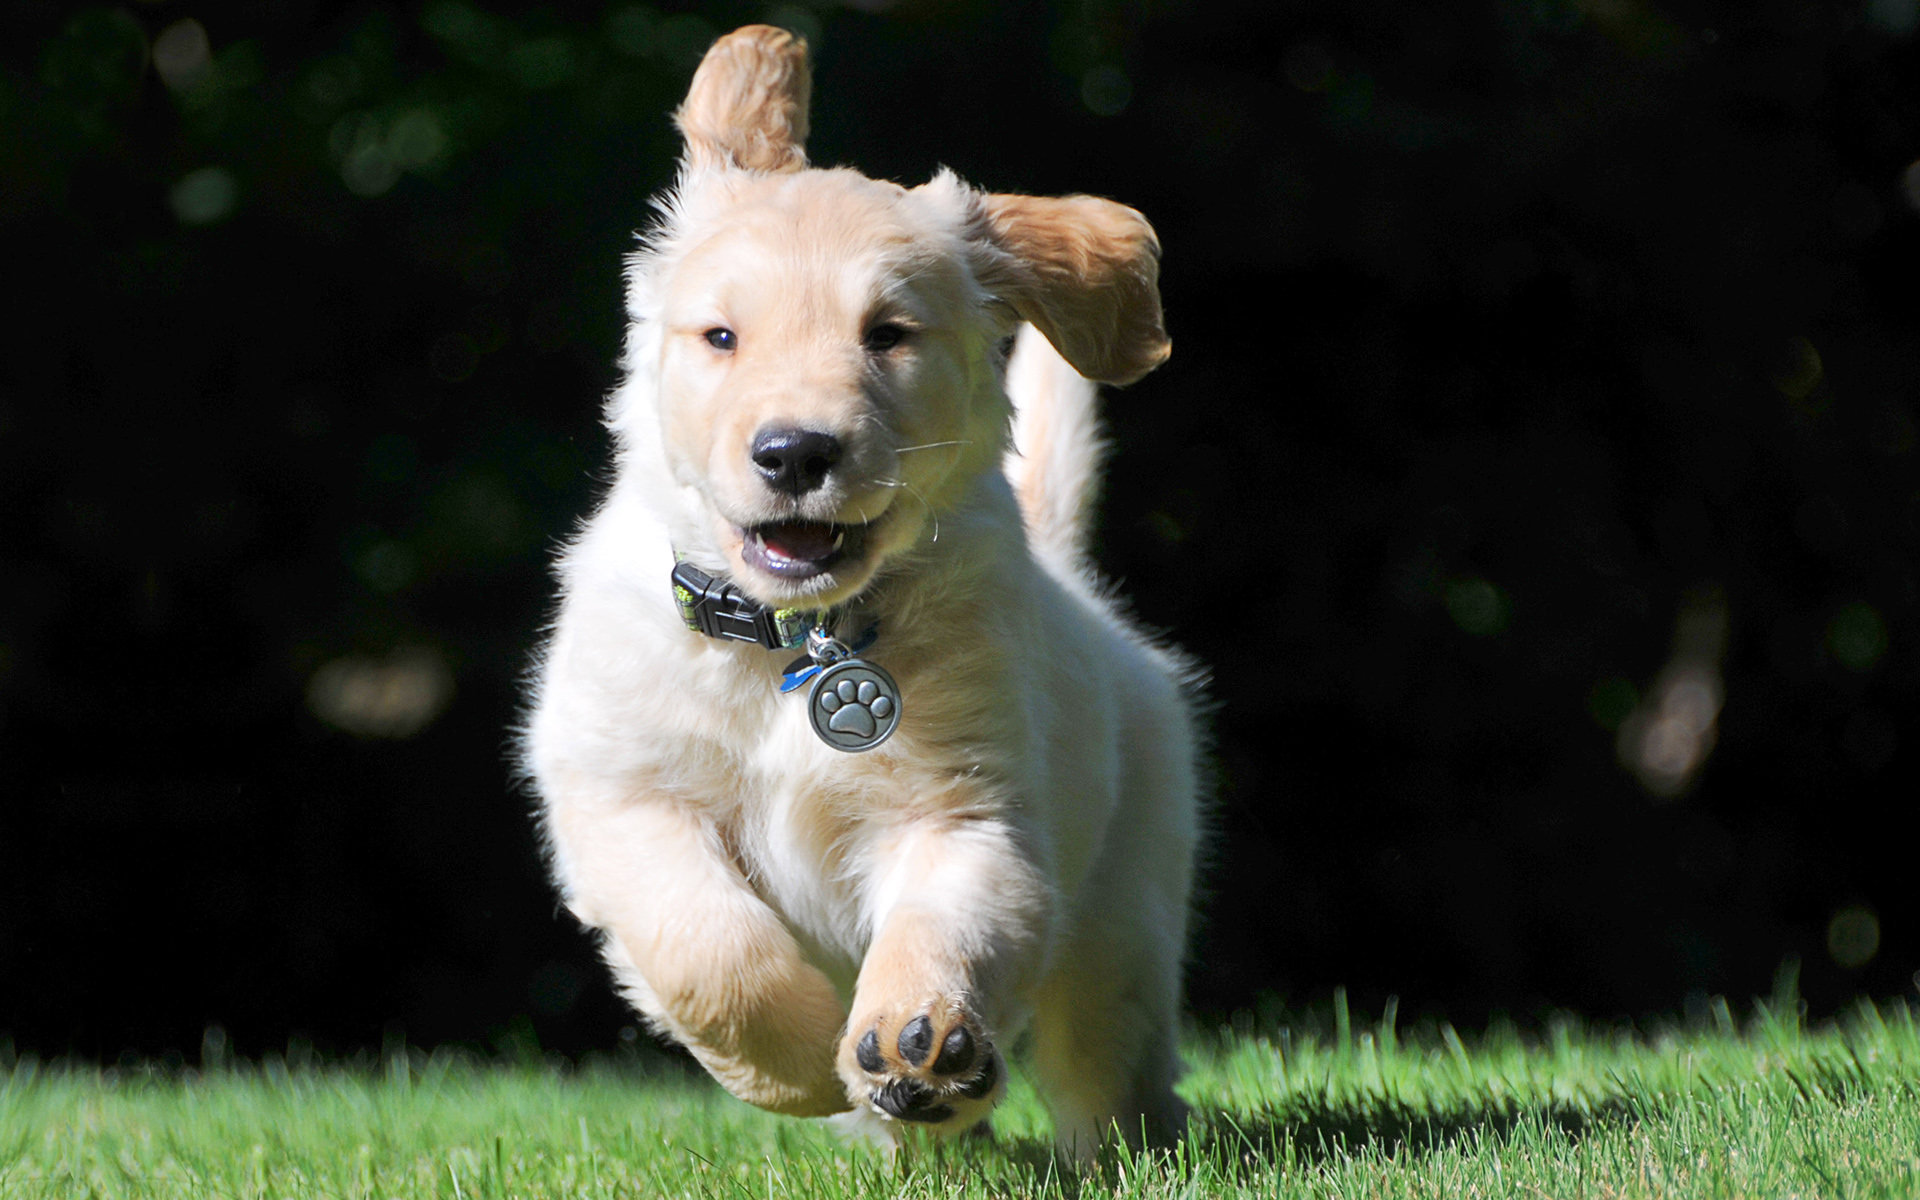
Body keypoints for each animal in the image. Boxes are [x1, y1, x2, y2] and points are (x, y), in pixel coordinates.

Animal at [526, 25, 1198, 1152]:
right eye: (720, 337)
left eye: (888, 333)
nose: (796, 451)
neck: (796, 643)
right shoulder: (623, 793)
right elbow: (711, 952)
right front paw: (802, 1065)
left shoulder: (969, 814)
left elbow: (942, 928)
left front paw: (914, 1039)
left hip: (1125, 921)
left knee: (1112, 1071)